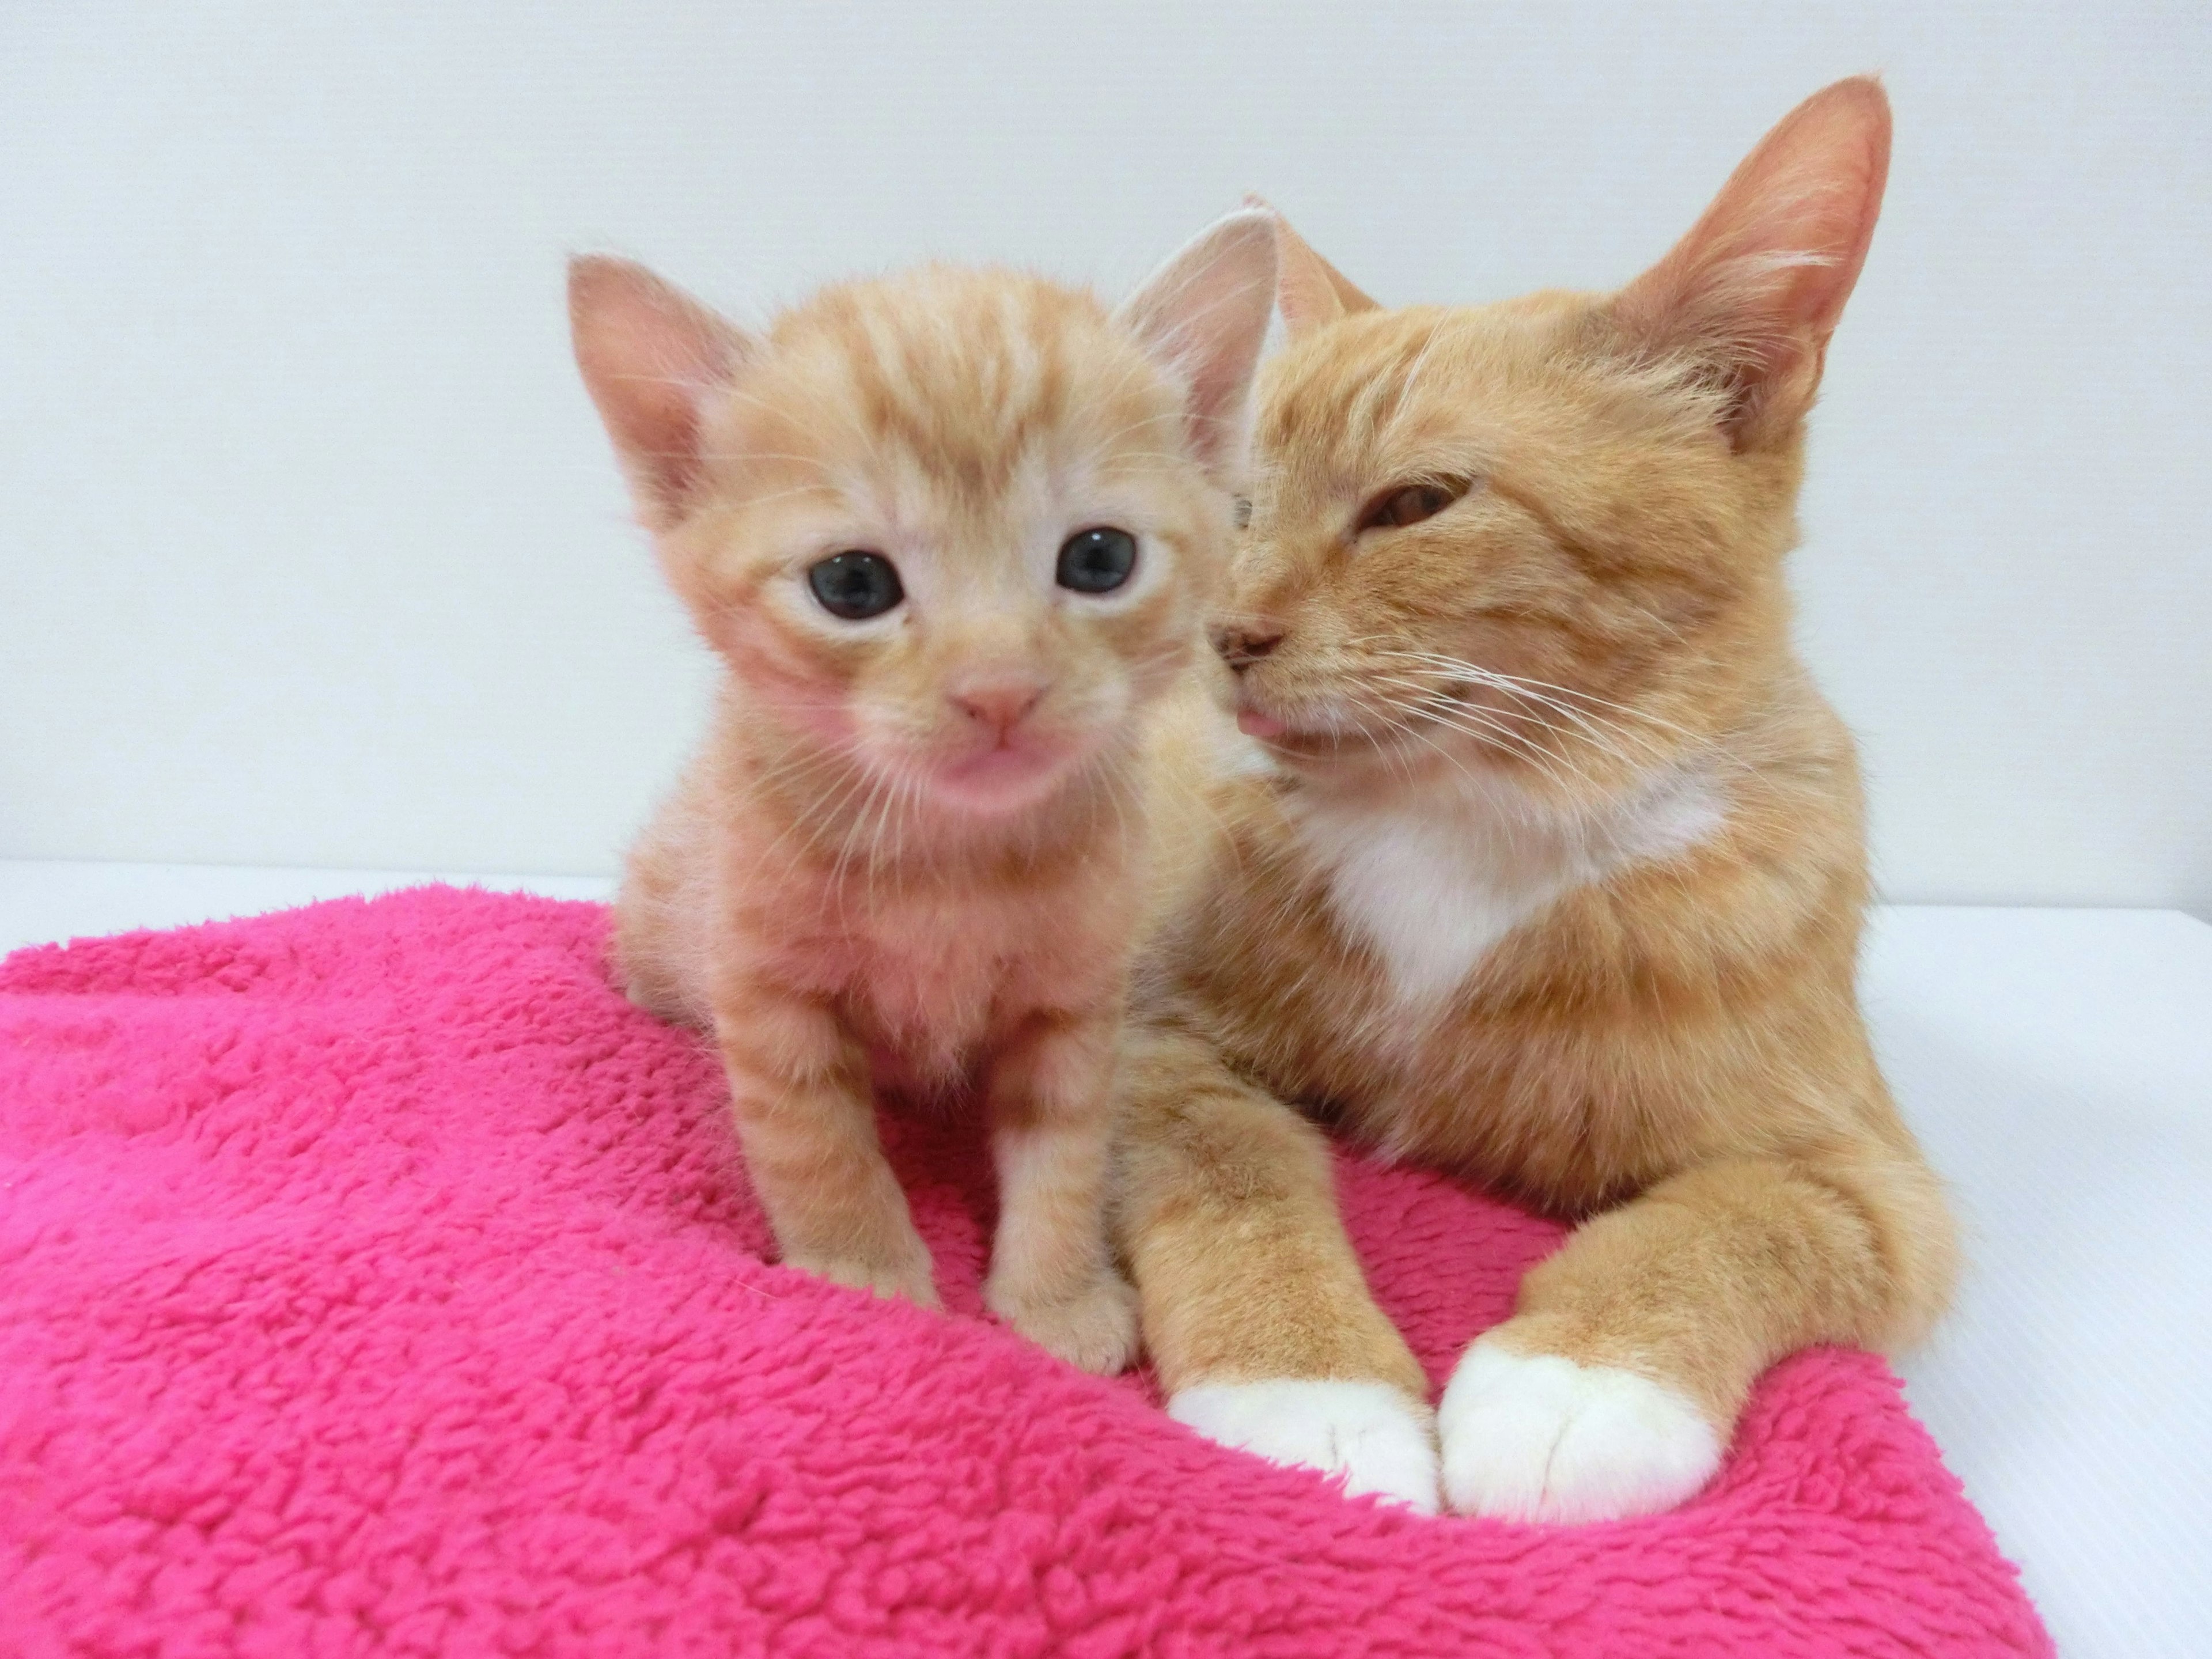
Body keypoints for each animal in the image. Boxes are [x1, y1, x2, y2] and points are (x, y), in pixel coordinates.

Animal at [570, 211, 1283, 1380]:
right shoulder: (766, 994)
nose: (999, 687)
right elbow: (815, 1147)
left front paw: (1055, 1297)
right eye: (852, 584)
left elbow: (1066, 1156)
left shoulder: (1076, 998)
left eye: (1100, 558)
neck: (953, 857)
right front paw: (865, 1277)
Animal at [1115, 84, 1964, 1531]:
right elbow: (1230, 1161)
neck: (1465, 822)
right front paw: (1308, 1389)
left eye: (1416, 502)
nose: (1226, 635)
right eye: (1236, 507)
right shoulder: (1140, 1036)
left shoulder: (1876, 1181)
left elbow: (1726, 1221)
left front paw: (1577, 1383)